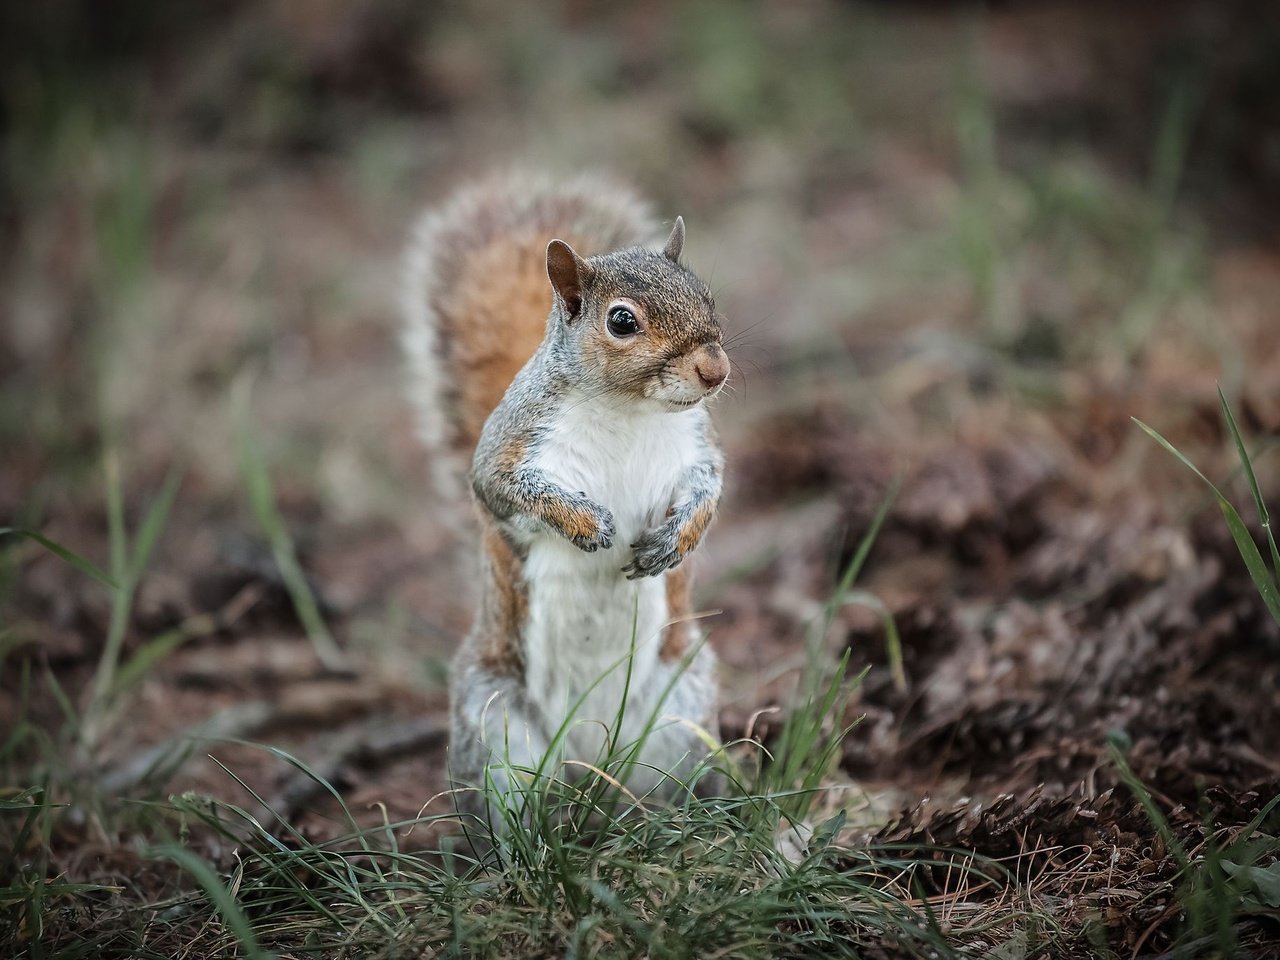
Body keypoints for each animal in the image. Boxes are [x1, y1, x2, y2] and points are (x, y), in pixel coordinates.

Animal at [399, 172, 732, 834]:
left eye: (706, 295)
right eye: (622, 321)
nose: (717, 370)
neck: (629, 410)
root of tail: (589, 756)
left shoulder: (697, 450)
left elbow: (708, 494)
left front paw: (673, 543)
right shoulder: (509, 449)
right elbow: (503, 489)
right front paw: (585, 523)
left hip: (682, 706)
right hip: (495, 722)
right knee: (509, 802)